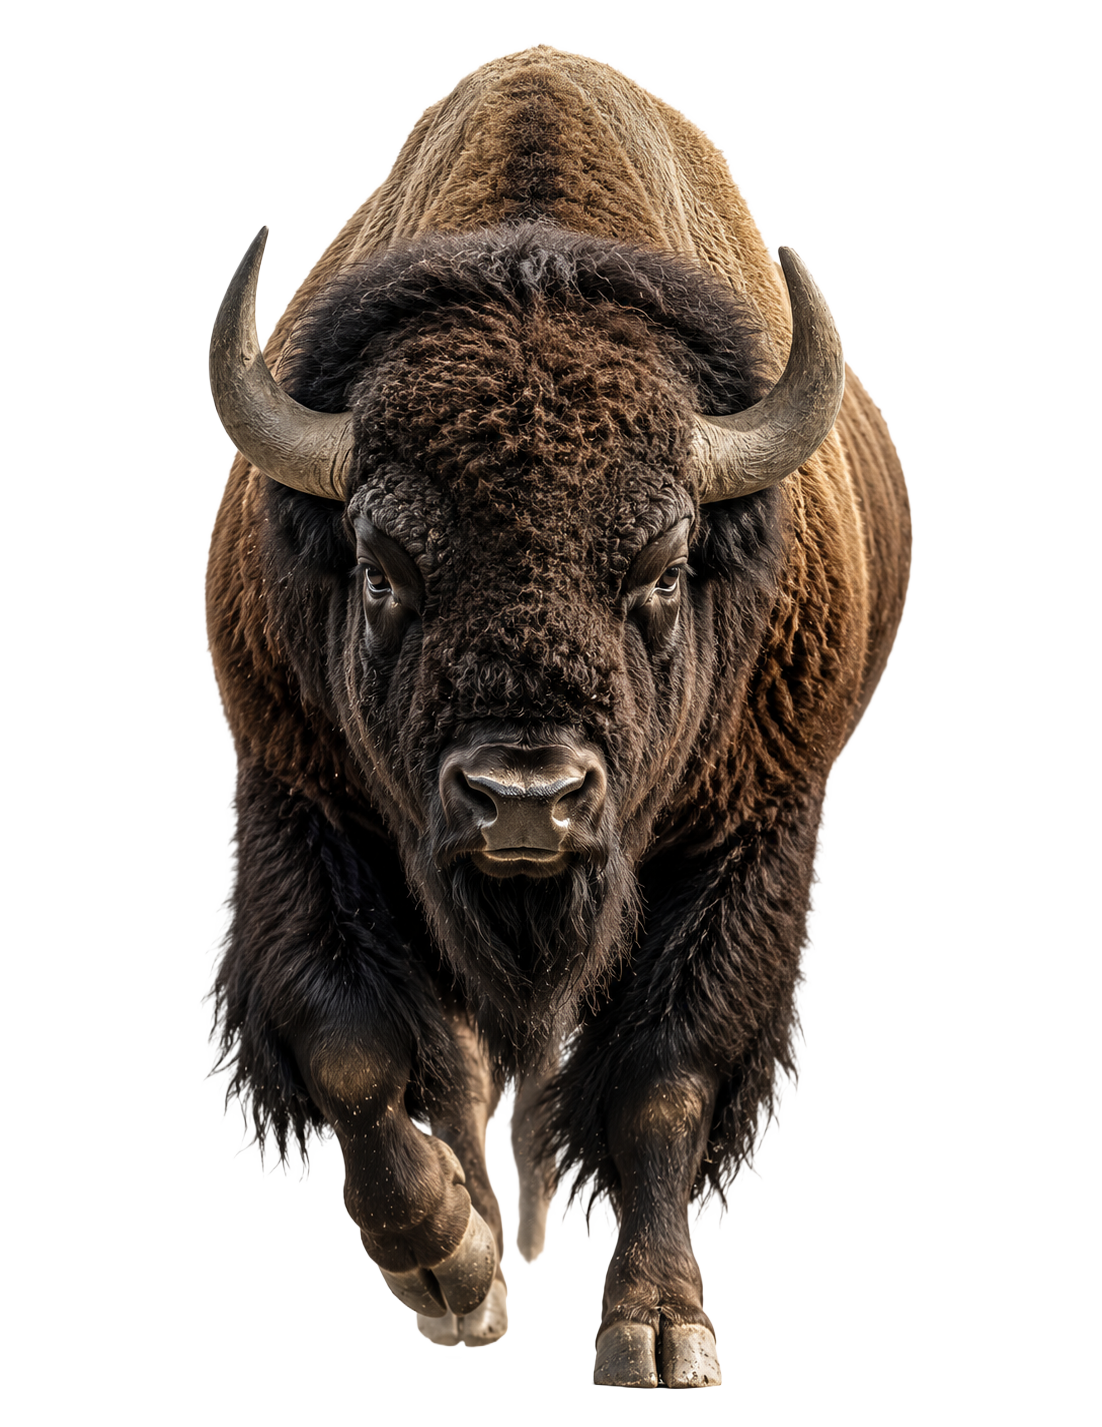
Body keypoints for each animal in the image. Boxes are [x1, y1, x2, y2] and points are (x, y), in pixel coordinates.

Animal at [206, 46, 910, 1388]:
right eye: (380, 567)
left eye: (664, 567)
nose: (524, 800)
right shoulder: (298, 795)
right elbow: (356, 1044)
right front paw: (449, 1266)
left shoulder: (750, 837)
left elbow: (660, 1083)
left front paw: (660, 1331)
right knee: (465, 1067)